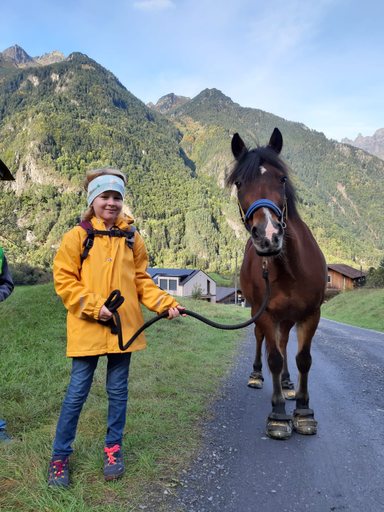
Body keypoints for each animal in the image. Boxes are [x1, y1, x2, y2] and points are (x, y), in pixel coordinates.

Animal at [226, 128, 326, 440]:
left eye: (281, 179)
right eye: (239, 183)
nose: (268, 235)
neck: (290, 268)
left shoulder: (311, 314)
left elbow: (302, 358)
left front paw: (303, 411)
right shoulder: (266, 314)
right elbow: (274, 358)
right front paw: (279, 414)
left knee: (283, 345)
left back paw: (287, 382)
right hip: (258, 313)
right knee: (265, 343)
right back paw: (258, 375)